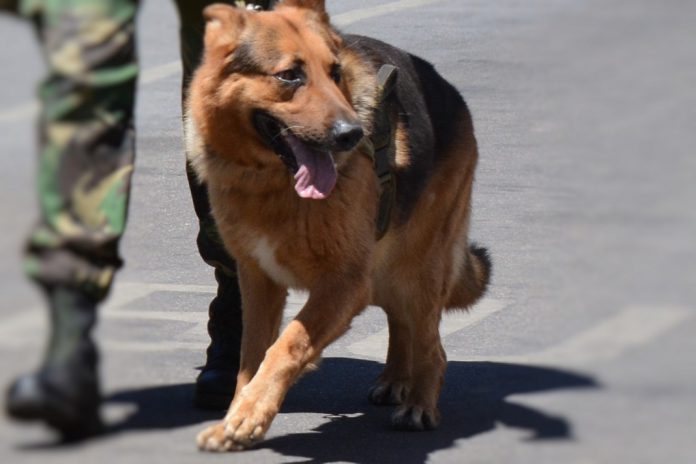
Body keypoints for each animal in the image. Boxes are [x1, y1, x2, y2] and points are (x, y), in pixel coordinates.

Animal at [185, 0, 490, 450]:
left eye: (334, 72)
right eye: (290, 75)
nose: (352, 134)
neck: (272, 183)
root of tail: (448, 90)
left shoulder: (343, 284)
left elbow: (287, 345)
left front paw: (249, 415)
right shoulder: (257, 280)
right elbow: (251, 357)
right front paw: (238, 415)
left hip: (417, 267)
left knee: (432, 346)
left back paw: (419, 403)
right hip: (385, 268)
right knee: (400, 319)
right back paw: (395, 378)